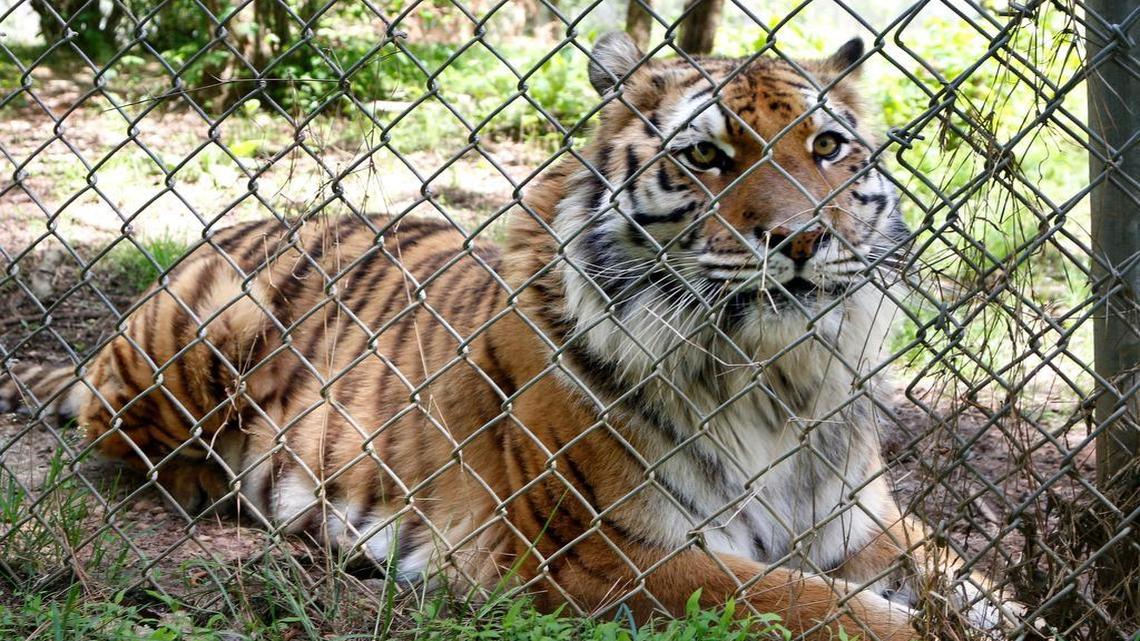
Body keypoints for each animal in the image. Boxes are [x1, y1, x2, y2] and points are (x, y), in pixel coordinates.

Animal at [0, 32, 1028, 640]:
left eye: (827, 147)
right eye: (706, 154)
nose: (804, 238)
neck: (777, 380)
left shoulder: (863, 522)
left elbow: (962, 578)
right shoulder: (604, 550)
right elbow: (817, 603)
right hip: (189, 348)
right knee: (120, 436)